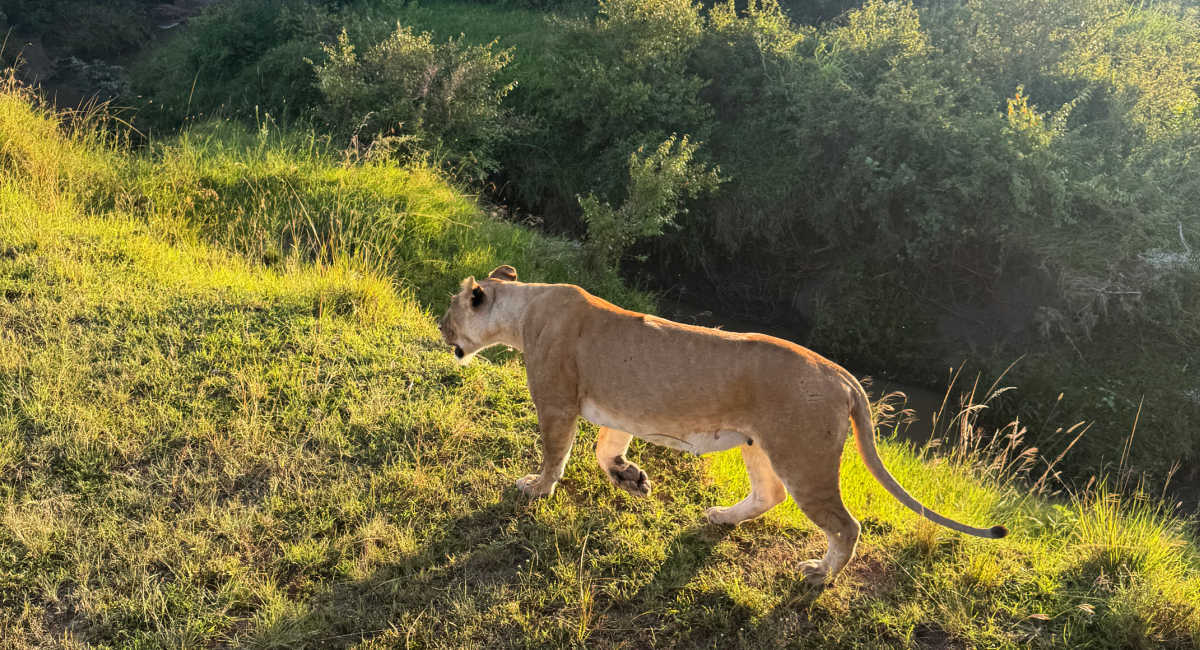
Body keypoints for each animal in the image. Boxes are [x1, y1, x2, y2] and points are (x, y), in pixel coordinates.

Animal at [438, 265, 1007, 584]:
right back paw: (722, 518)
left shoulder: (557, 400)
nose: (440, 328)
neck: (523, 310)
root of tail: (842, 374)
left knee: (846, 525)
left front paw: (536, 488)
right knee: (769, 494)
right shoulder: (618, 410)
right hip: (759, 445)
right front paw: (632, 479)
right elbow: (605, 450)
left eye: (450, 310)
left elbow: (555, 452)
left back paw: (820, 575)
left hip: (804, 456)